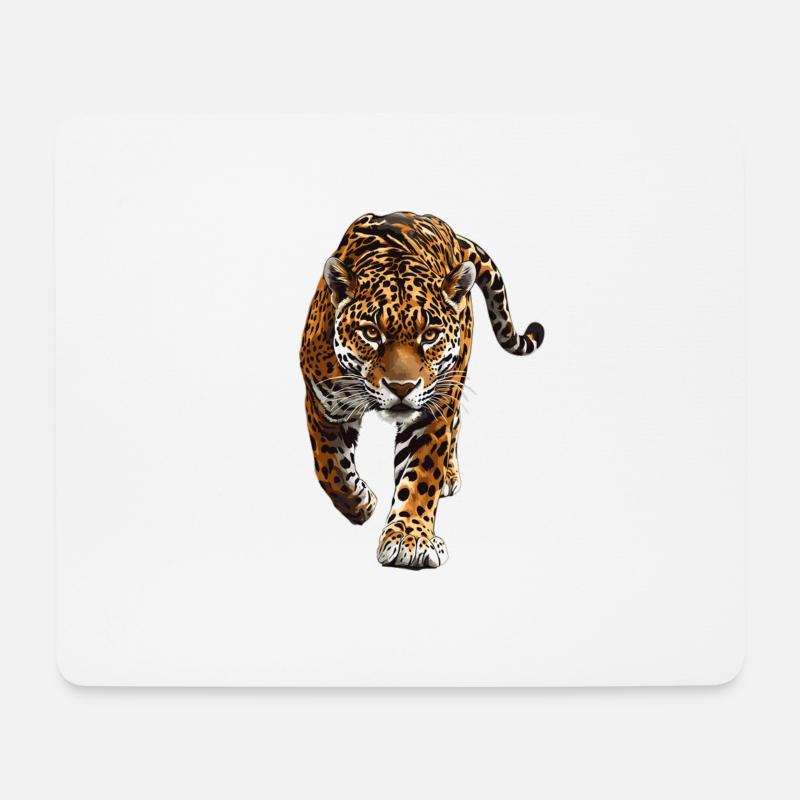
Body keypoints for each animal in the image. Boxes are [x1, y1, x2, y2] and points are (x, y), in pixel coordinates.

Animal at [300, 211, 544, 569]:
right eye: (371, 333)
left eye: (429, 335)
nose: (401, 387)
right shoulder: (322, 402)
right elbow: (330, 469)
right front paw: (361, 504)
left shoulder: (432, 412)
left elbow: (421, 475)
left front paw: (410, 539)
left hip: (453, 380)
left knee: (455, 425)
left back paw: (449, 476)